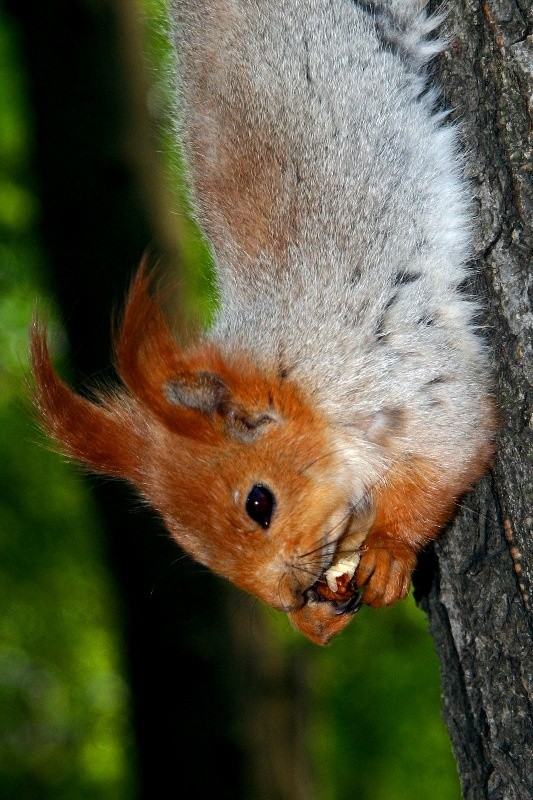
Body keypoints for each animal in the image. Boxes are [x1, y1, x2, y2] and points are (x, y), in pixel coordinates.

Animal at [29, 1, 494, 644]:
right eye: (194, 551)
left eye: (259, 503)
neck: (293, 375)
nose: (288, 597)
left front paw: (391, 550)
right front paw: (317, 618)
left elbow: (453, 447)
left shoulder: (398, 373)